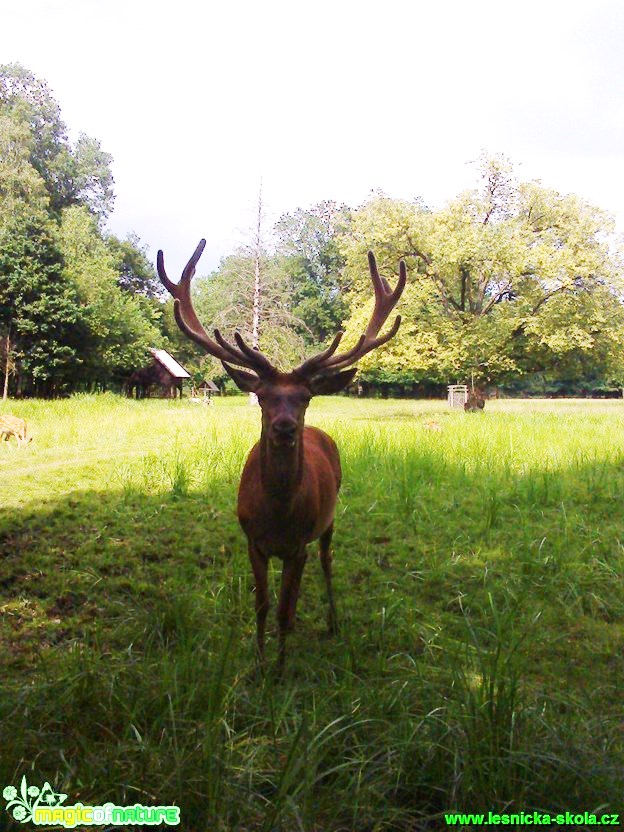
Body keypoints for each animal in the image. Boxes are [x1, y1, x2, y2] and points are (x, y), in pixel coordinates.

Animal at [158, 239, 408, 668]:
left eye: (305, 397)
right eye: (262, 396)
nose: (286, 427)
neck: (276, 514)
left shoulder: (297, 546)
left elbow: (284, 611)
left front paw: (279, 667)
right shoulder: (252, 541)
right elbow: (263, 606)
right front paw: (259, 661)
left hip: (328, 520)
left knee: (327, 562)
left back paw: (333, 622)